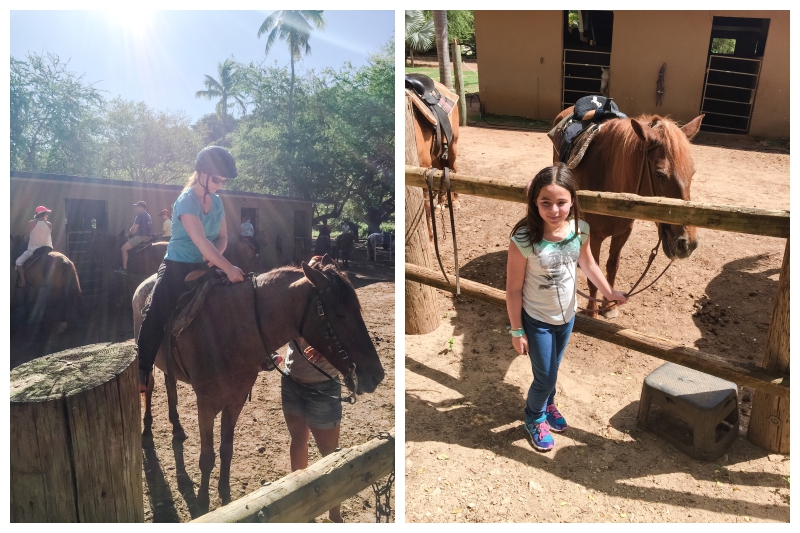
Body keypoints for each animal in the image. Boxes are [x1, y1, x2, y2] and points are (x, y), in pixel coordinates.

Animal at [132, 254, 384, 512]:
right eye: (341, 313)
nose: (376, 375)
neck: (230, 332)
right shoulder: (206, 405)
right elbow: (207, 458)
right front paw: (203, 501)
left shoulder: (235, 401)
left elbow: (226, 450)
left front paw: (225, 494)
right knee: (149, 388)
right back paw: (147, 430)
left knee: (170, 385)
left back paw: (177, 428)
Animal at [552, 106, 704, 318]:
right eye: (659, 173)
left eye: (692, 172)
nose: (688, 244)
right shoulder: (595, 236)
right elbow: (594, 274)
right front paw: (592, 311)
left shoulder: (623, 233)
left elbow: (612, 267)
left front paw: (609, 306)